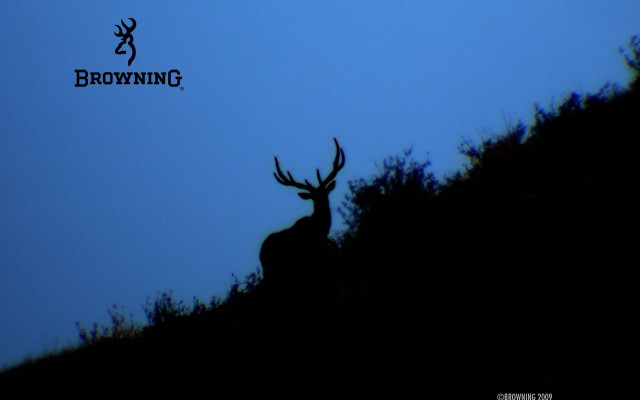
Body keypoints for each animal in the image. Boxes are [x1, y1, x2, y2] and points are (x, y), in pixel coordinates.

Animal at [260, 138, 345, 300]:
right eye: (313, 197)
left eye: (325, 192)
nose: (323, 204)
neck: (319, 229)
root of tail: (260, 252)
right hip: (272, 271)